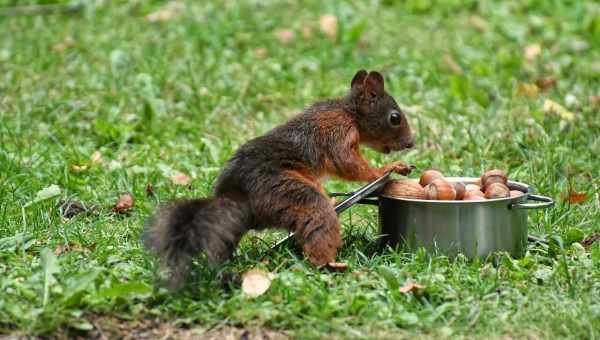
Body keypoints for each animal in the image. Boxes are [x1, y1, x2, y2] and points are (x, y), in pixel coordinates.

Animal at [142, 70, 412, 286]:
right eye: (395, 118)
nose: (411, 143)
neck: (349, 112)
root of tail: (240, 199)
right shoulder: (337, 132)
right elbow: (346, 163)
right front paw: (386, 169)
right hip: (286, 193)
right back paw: (330, 263)